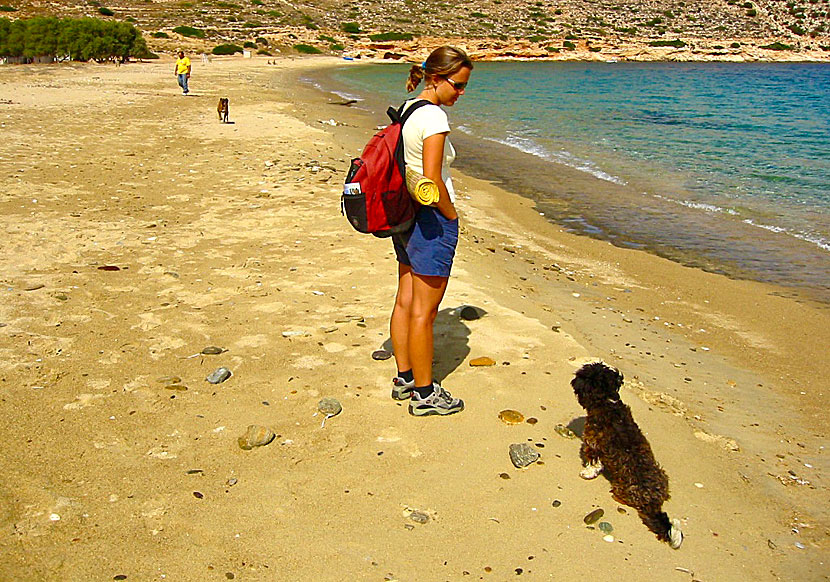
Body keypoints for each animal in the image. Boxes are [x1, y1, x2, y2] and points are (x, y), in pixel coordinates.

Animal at [576, 362, 684, 548]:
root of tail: (653, 502)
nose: (574, 379)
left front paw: (587, 472)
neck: (607, 402)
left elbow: (593, 463)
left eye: (583, 374)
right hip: (663, 474)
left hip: (622, 488)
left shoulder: (593, 444)